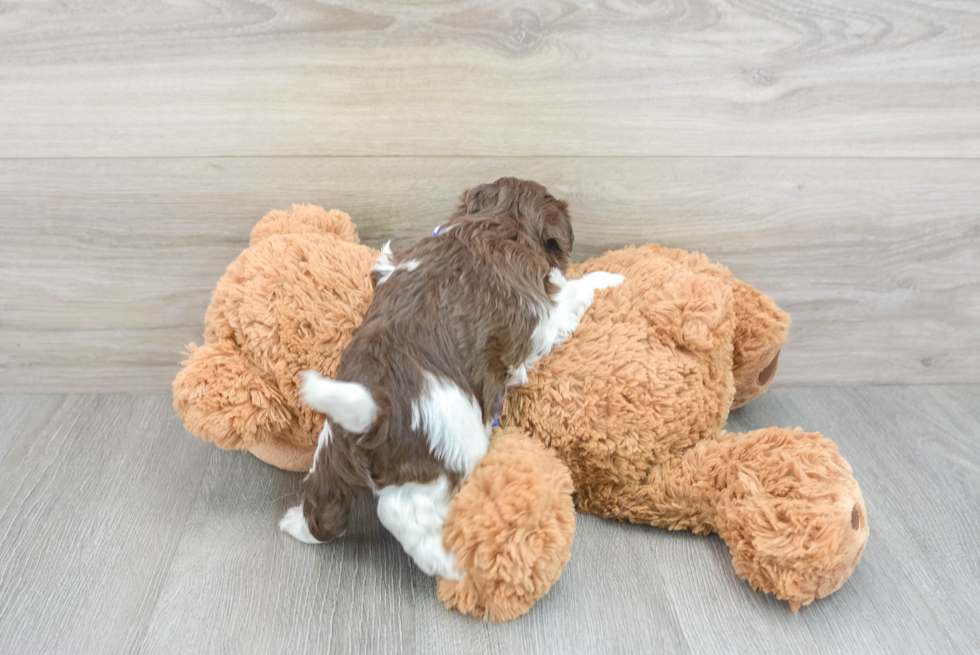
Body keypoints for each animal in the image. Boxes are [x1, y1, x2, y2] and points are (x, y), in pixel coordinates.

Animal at [280, 176, 624, 580]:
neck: (496, 220)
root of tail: (375, 410)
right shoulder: (547, 315)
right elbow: (576, 290)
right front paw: (611, 277)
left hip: (330, 451)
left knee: (325, 508)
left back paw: (296, 524)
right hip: (445, 458)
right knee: (402, 515)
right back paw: (454, 565)